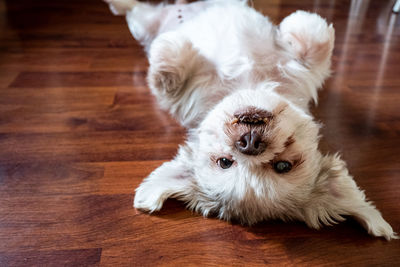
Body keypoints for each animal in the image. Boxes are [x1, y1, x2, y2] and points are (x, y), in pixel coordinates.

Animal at [105, 0, 396, 241]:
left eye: (282, 166)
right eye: (224, 162)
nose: (250, 142)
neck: (249, 84)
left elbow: (315, 40)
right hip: (144, 23)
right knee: (132, 10)